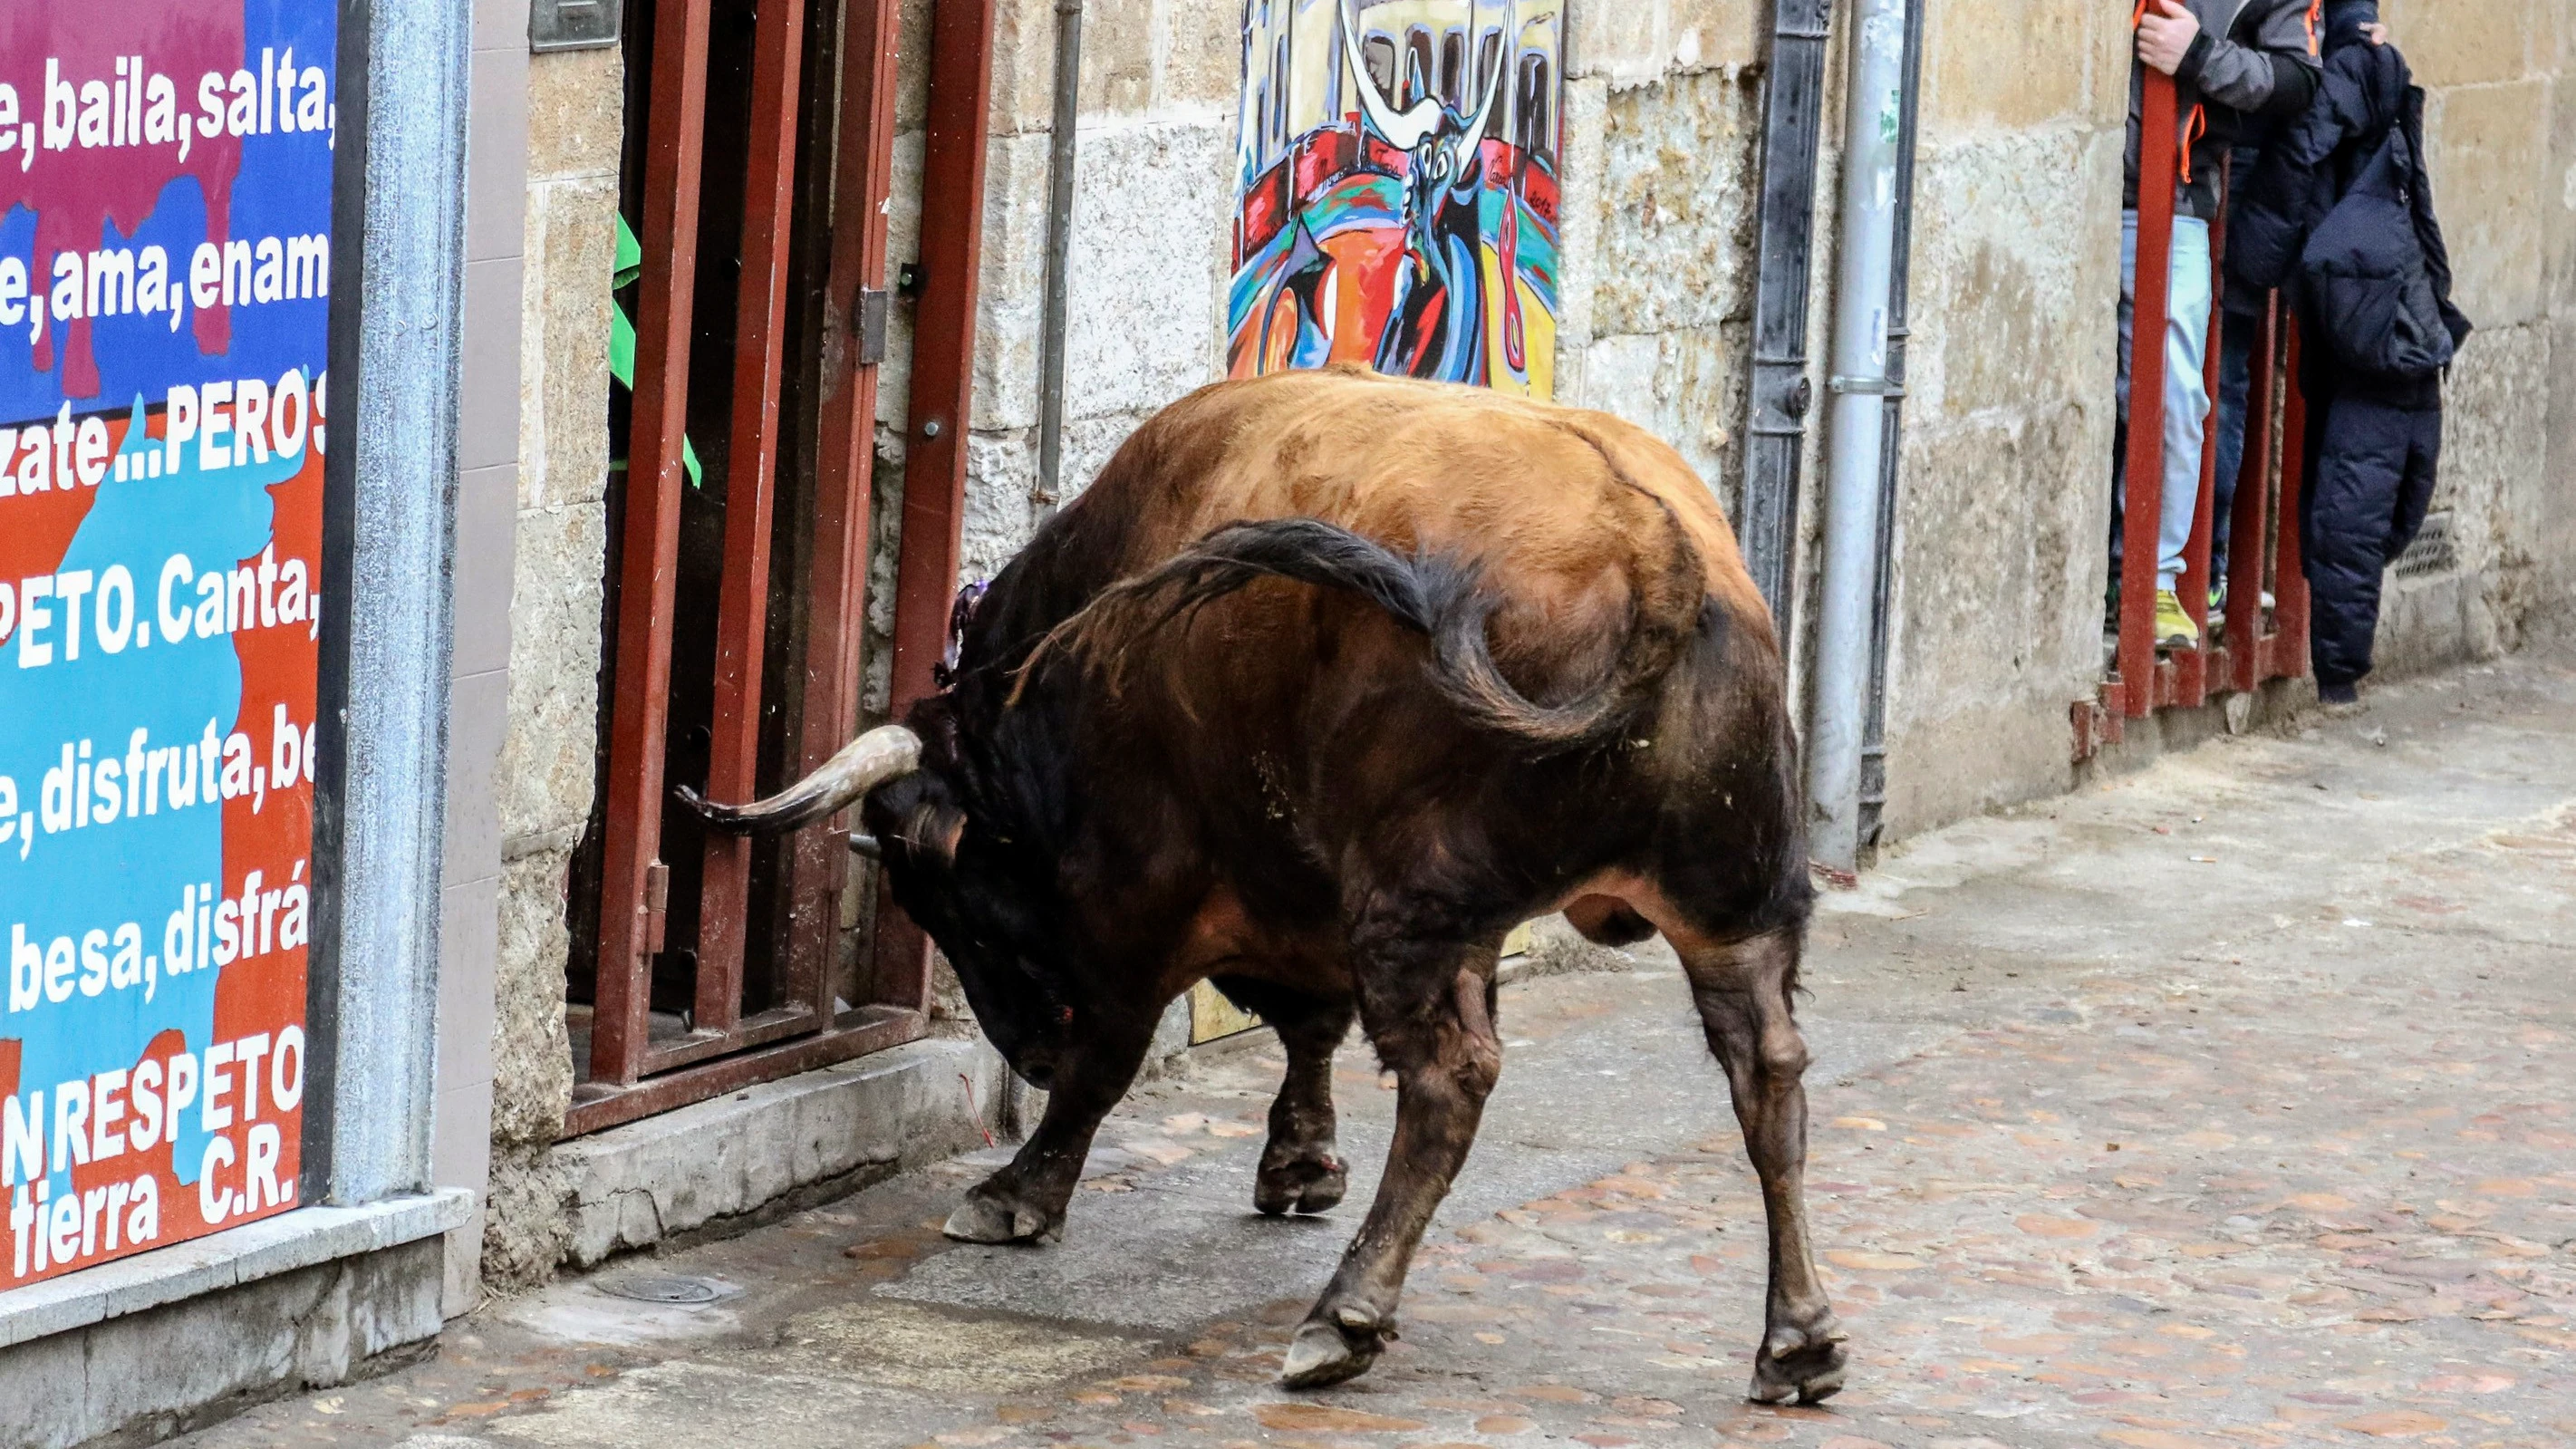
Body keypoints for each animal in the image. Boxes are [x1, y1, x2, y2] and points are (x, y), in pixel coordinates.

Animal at [690, 363, 1854, 1402]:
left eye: (948, 902)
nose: (1025, 1050)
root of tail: (1653, 549)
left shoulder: (1141, 891)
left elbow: (1111, 1060)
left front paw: (1019, 1192)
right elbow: (1308, 1026)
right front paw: (1299, 1164)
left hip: (1418, 909)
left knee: (1449, 1082)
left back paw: (1343, 1318)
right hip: (1732, 906)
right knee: (1768, 1071)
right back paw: (1797, 1343)